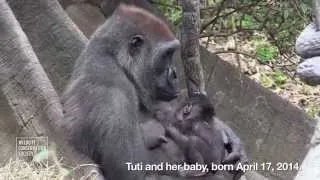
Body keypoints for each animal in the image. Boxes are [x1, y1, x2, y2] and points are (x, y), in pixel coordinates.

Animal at [60, 3, 246, 180]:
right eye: (166, 54)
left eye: (171, 53)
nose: (175, 74)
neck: (115, 59)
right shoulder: (111, 93)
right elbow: (132, 172)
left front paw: (230, 137)